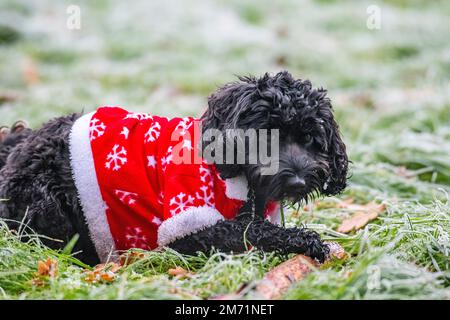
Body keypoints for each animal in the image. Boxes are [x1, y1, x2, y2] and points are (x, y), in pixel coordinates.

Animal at [0, 72, 348, 264]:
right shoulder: (188, 226)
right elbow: (250, 230)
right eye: (266, 136)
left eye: (309, 137)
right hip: (47, 208)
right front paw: (306, 241)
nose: (299, 181)